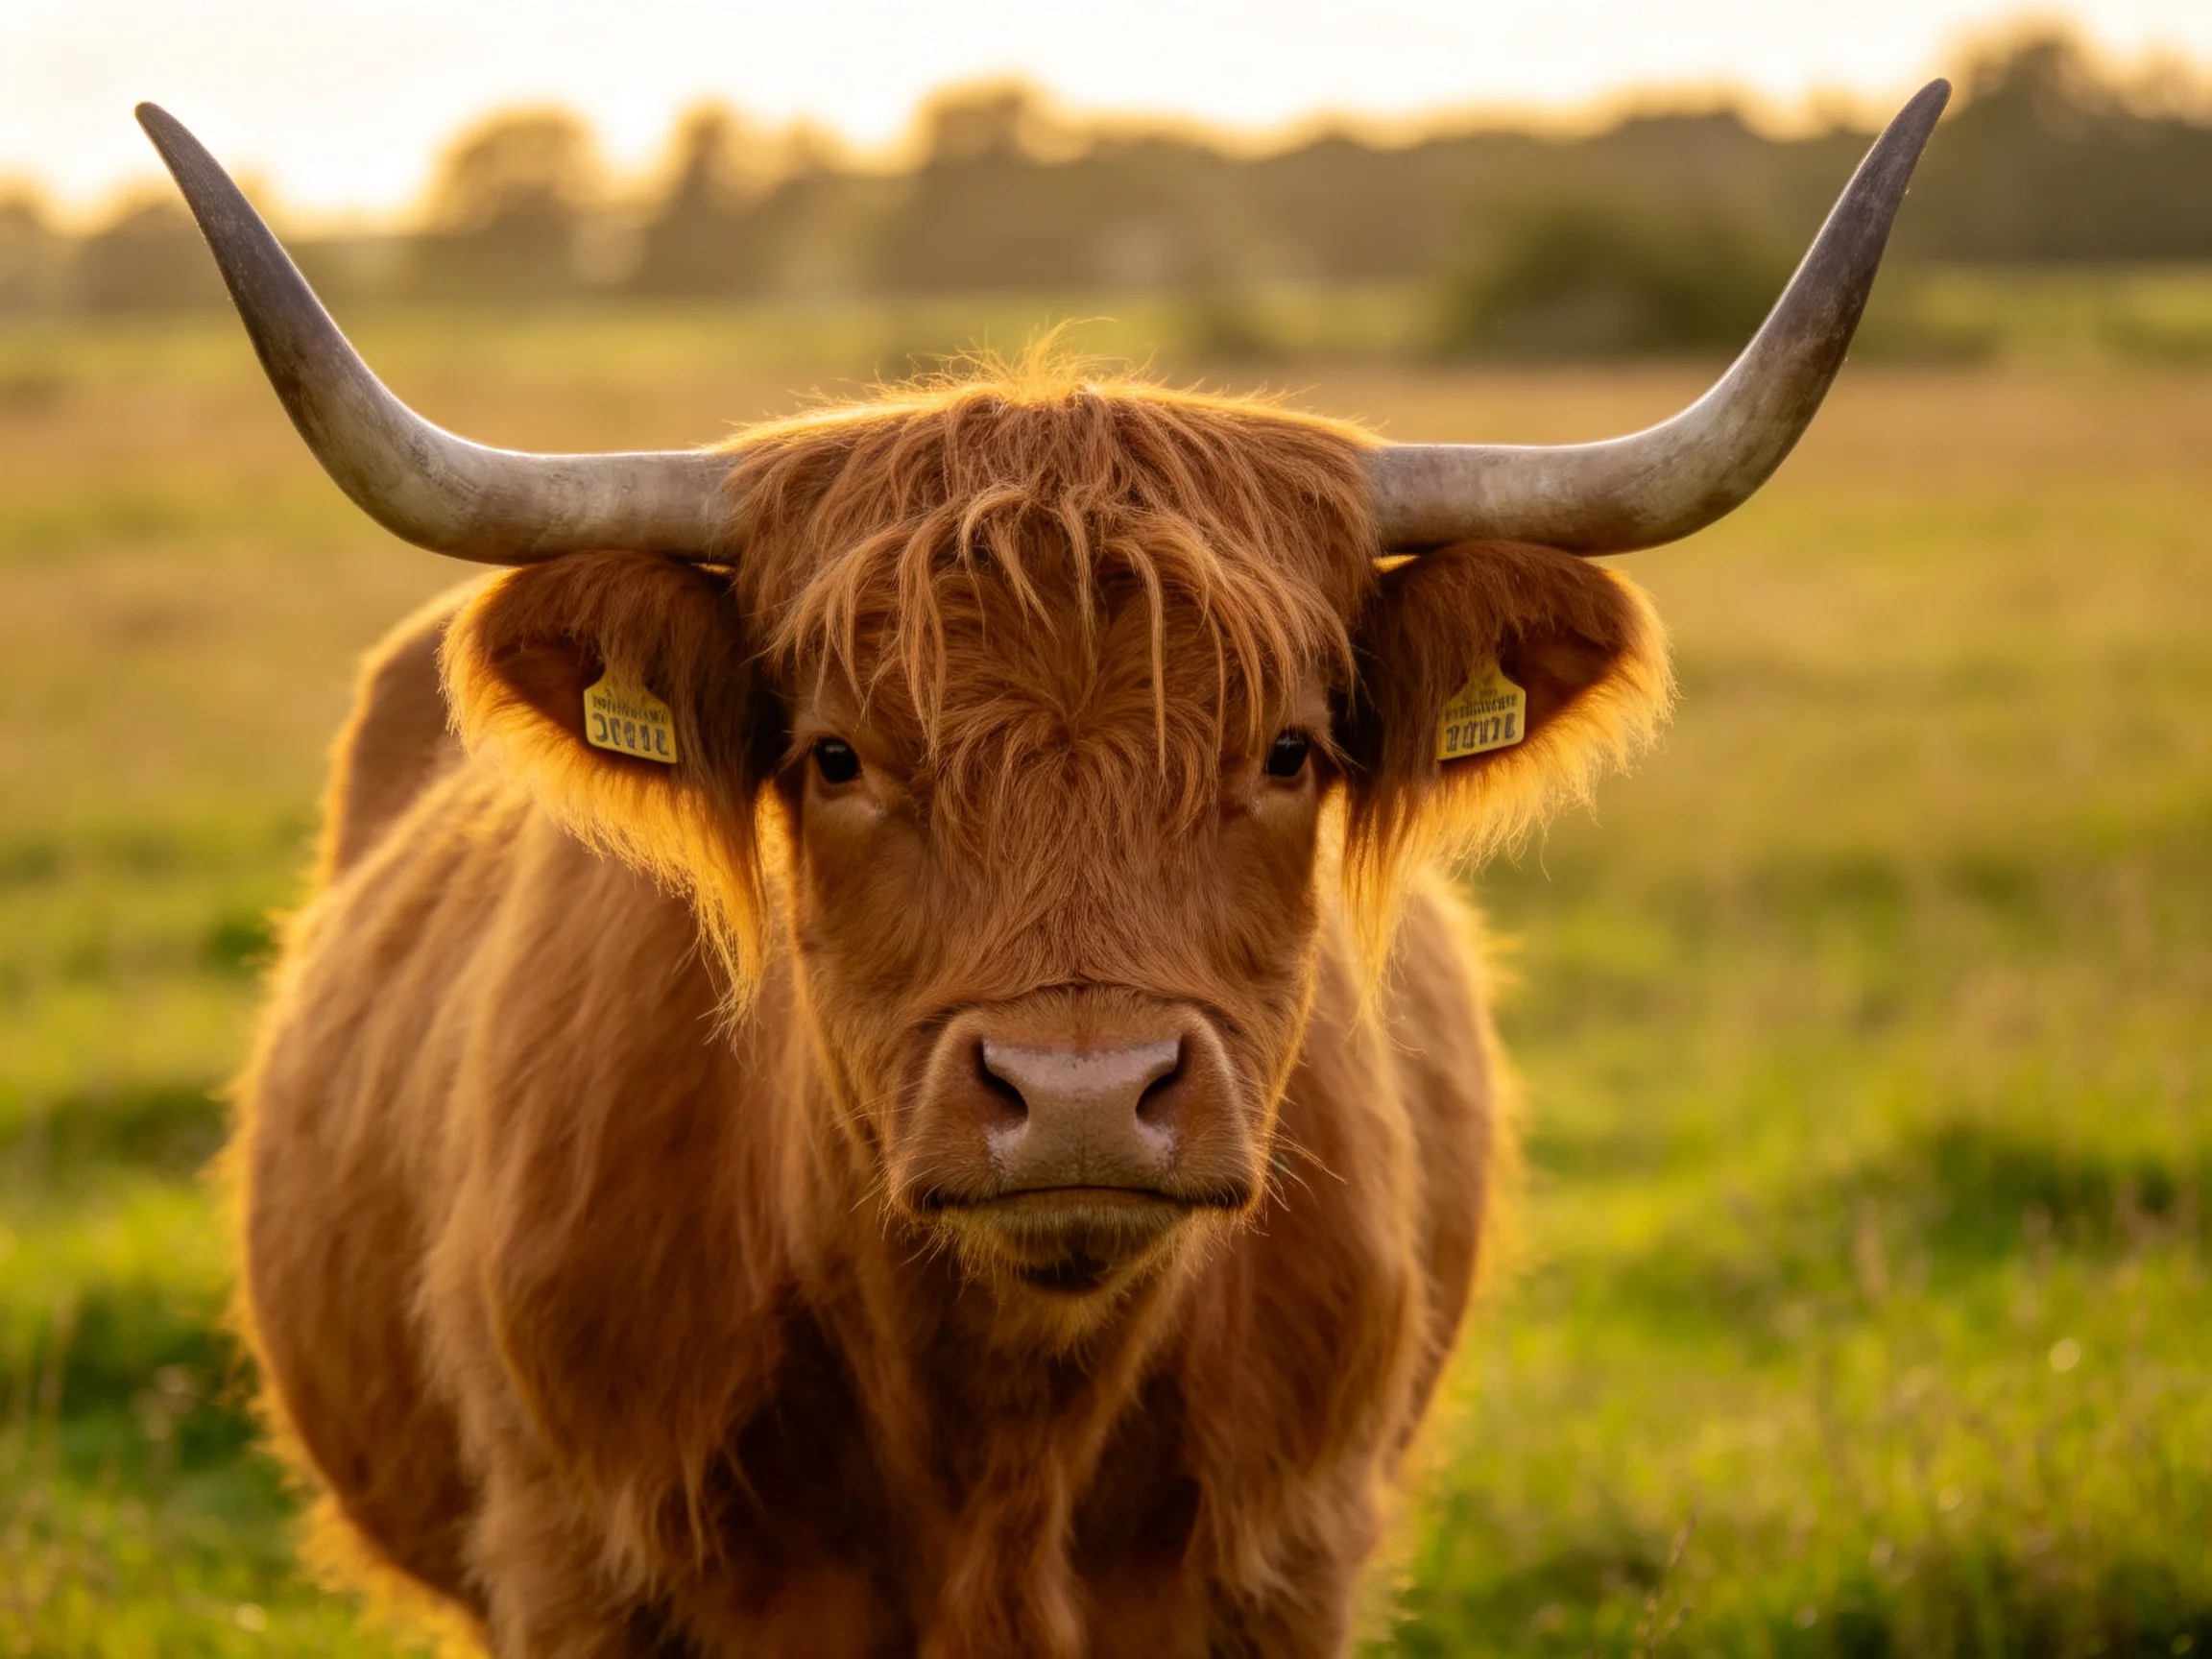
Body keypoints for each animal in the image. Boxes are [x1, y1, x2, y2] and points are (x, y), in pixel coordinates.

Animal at [140, 82, 1945, 1658]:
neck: (994, 1444)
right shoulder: (566, 1566)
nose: (1081, 1096)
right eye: (836, 756)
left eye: (1288, 751)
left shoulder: (1289, 1573)